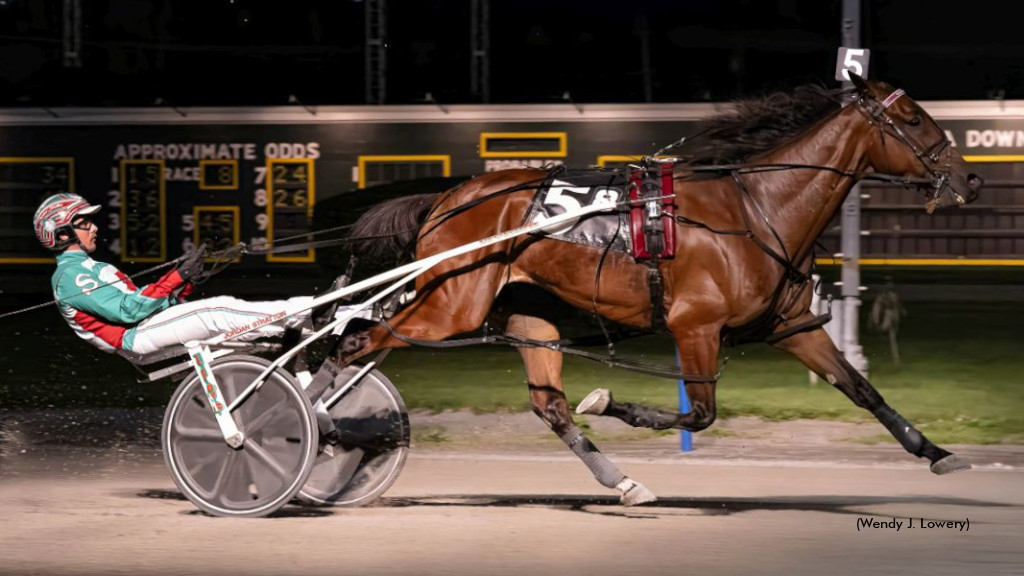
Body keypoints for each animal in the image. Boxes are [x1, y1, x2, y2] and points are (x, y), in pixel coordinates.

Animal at [335, 75, 983, 502]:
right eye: (914, 118)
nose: (970, 178)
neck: (757, 208)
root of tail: (448, 196)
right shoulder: (694, 325)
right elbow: (700, 413)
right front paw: (613, 404)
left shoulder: (791, 326)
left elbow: (862, 390)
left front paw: (938, 454)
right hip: (451, 304)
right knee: (356, 341)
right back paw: (327, 436)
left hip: (525, 310)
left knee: (548, 404)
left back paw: (620, 480)